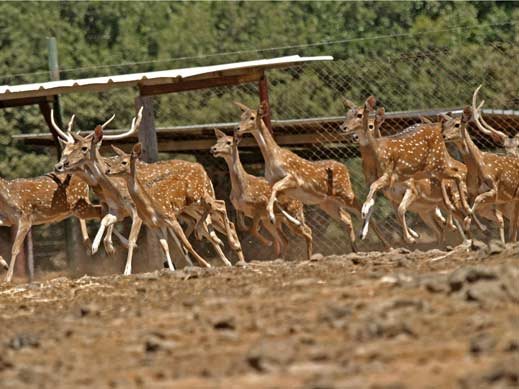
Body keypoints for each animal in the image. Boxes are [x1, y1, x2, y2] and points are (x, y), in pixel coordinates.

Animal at [210, 129, 312, 260]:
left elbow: (252, 230)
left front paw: (267, 242)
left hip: (293, 213)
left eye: (228, 142)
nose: (213, 149)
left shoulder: (260, 205)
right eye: (217, 140)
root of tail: (300, 202)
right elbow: (241, 226)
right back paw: (281, 258)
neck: (241, 190)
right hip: (274, 221)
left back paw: (309, 258)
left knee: (307, 232)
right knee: (285, 239)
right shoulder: (239, 208)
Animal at [235, 101, 390, 252]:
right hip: (327, 202)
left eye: (252, 117)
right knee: (346, 218)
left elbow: (276, 190)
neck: (272, 160)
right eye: (241, 116)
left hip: (345, 192)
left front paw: (274, 217)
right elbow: (276, 199)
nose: (237, 128)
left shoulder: (293, 178)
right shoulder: (277, 186)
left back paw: (386, 245)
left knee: (362, 210)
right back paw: (355, 250)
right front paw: (293, 221)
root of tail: (345, 169)